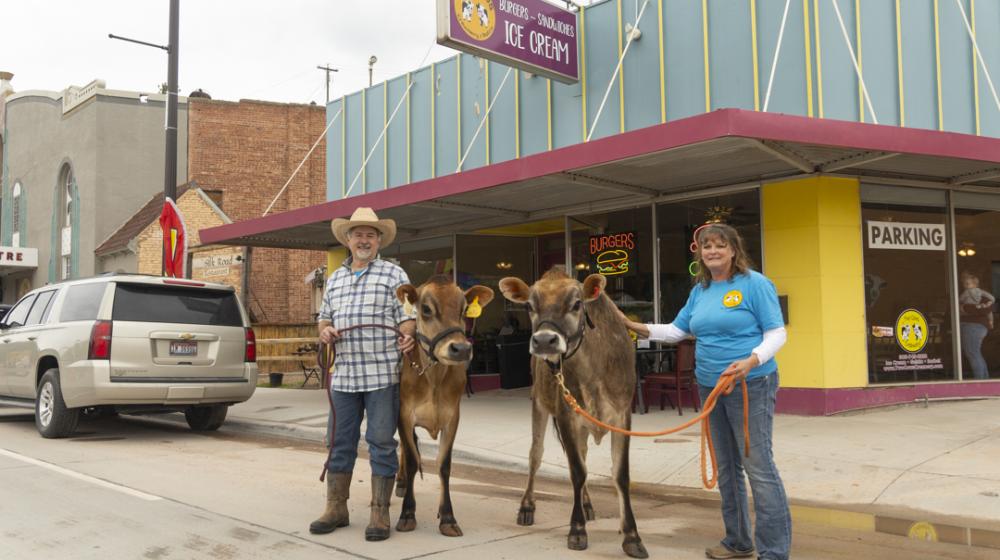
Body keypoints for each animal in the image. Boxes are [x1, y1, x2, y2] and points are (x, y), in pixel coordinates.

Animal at [500, 270, 648, 556]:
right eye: (529, 306)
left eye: (577, 303)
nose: (544, 340)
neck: (594, 370)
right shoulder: (565, 414)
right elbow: (577, 471)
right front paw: (577, 530)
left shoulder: (622, 415)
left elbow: (620, 474)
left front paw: (632, 536)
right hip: (539, 403)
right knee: (536, 455)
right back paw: (527, 507)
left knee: (583, 454)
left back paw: (588, 505)